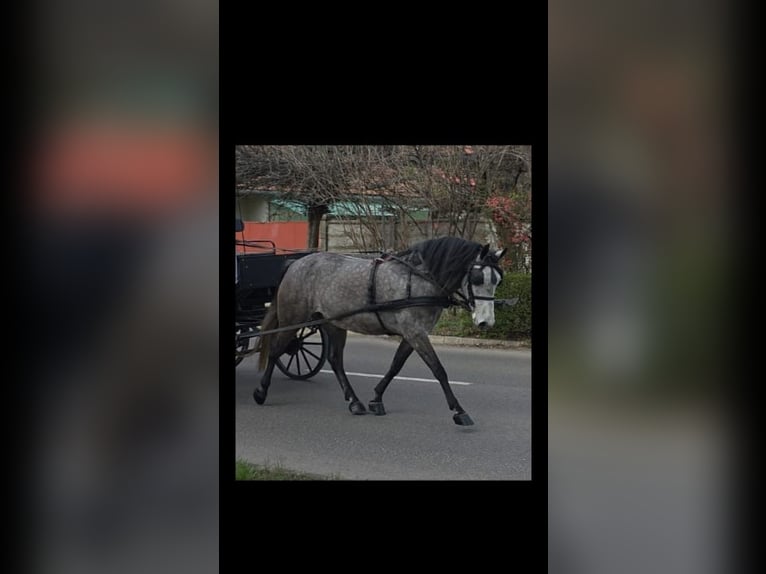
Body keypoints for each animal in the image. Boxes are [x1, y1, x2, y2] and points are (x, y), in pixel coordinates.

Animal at [253, 237, 507, 425]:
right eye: (477, 278)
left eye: (498, 281)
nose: (486, 322)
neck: (419, 281)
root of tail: (295, 264)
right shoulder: (415, 333)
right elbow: (438, 370)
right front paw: (458, 410)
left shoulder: (412, 334)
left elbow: (396, 365)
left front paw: (376, 399)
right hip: (293, 318)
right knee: (276, 350)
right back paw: (261, 391)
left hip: (333, 323)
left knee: (335, 360)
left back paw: (354, 401)